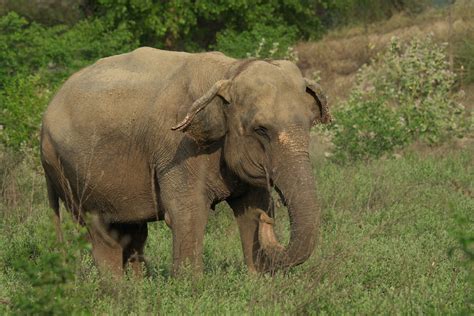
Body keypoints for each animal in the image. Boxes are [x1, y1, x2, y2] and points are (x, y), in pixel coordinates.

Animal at [39, 47, 330, 276]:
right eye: (261, 130)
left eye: (309, 124)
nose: (269, 223)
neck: (229, 72)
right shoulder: (177, 148)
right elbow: (188, 213)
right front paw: (190, 290)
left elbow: (251, 208)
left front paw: (257, 280)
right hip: (67, 171)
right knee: (101, 232)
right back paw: (117, 294)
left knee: (132, 232)